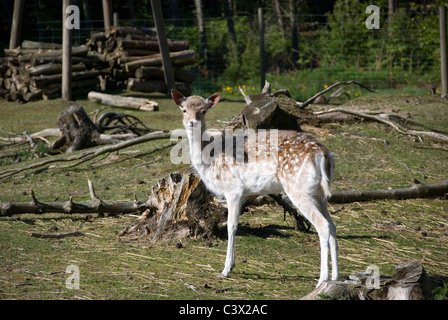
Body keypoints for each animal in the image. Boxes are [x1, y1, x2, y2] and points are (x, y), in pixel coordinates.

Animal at [172, 88, 340, 288]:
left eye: (203, 111)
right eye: (183, 109)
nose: (192, 122)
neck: (210, 161)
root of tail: (324, 155)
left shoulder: (233, 188)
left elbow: (232, 226)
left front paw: (227, 269)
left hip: (299, 188)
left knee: (323, 226)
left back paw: (322, 280)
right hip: (319, 193)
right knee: (333, 226)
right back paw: (336, 277)